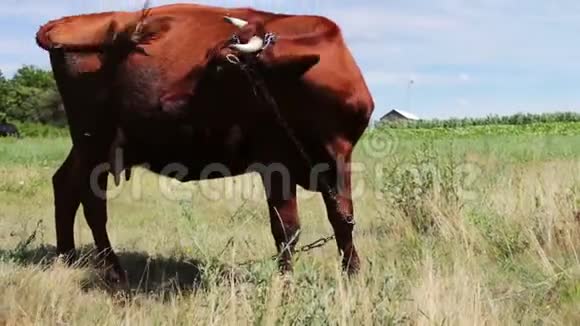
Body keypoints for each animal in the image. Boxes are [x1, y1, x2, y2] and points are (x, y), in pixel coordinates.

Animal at [36, 3, 374, 286]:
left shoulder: (339, 158)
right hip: (93, 140)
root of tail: (63, 23)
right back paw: (112, 269)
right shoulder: (275, 163)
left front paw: (353, 273)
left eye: (224, 64)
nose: (166, 102)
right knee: (91, 201)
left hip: (91, 145)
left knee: (65, 186)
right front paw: (285, 283)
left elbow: (343, 218)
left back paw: (67, 258)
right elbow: (286, 229)